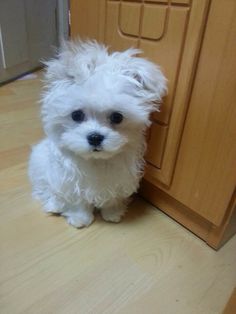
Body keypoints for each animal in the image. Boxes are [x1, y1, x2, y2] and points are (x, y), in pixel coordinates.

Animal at [28, 41, 167, 228]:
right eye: (76, 115)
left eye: (117, 117)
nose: (95, 137)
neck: (97, 161)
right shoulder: (71, 182)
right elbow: (77, 200)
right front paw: (80, 218)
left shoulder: (118, 180)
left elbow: (112, 198)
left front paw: (112, 213)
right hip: (40, 165)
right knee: (45, 189)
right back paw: (54, 204)